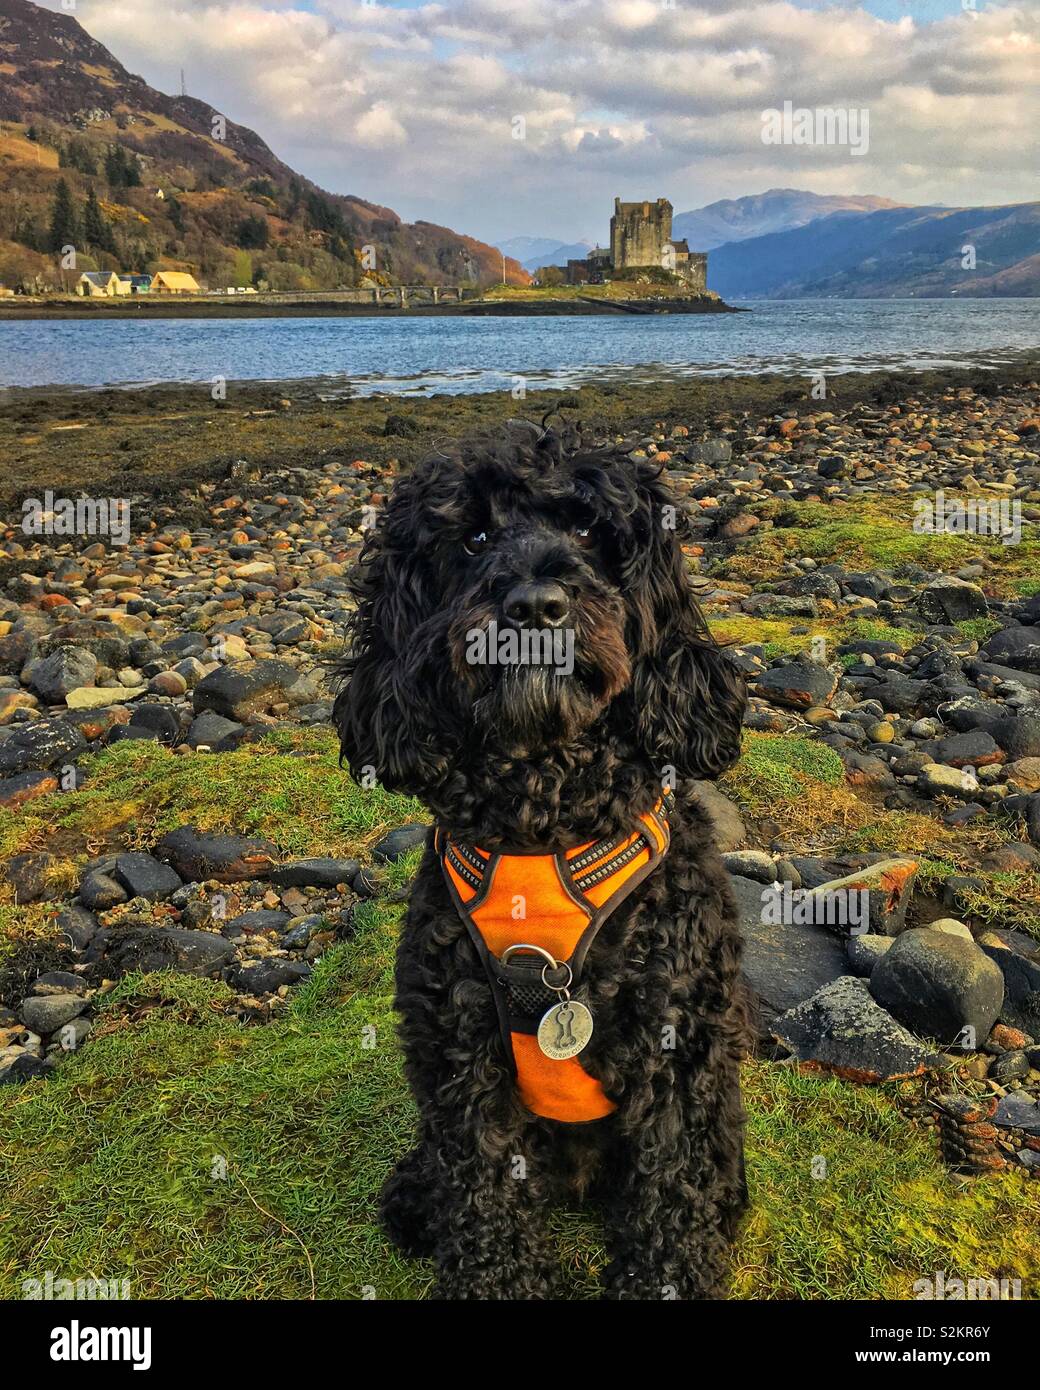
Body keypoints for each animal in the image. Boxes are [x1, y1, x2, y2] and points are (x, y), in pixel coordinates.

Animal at [337, 425, 750, 1301]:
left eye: (592, 530)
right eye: (472, 538)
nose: (535, 607)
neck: (545, 819)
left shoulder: (677, 1050)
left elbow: (672, 1195)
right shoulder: (461, 1053)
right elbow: (482, 1194)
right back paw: (416, 1194)